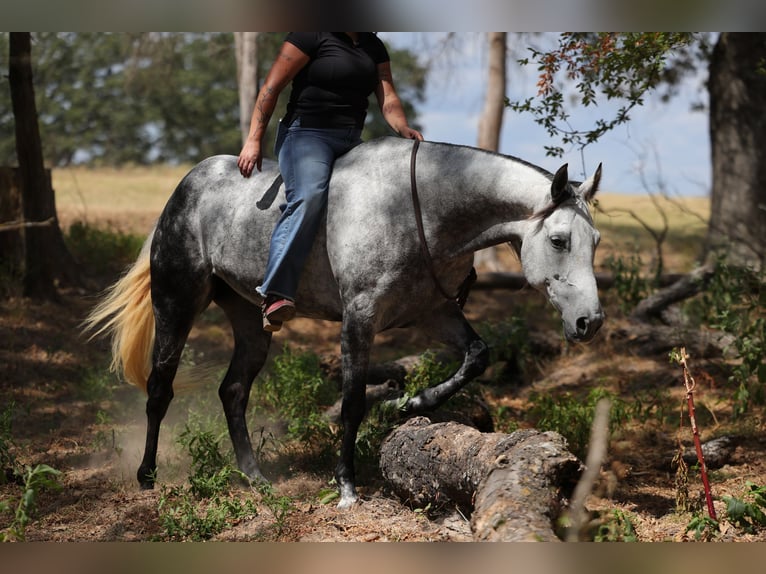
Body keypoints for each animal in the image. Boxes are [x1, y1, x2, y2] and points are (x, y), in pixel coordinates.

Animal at [83, 136, 604, 509]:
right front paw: (347, 486)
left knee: (233, 392)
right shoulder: (360, 317)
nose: (590, 322)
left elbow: (477, 356)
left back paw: (255, 477)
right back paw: (147, 477)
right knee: (160, 388)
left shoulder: (433, 312)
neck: (419, 208)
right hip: (177, 304)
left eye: (595, 241)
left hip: (250, 321)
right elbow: (352, 401)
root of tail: (185, 188)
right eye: (559, 239)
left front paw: (412, 403)